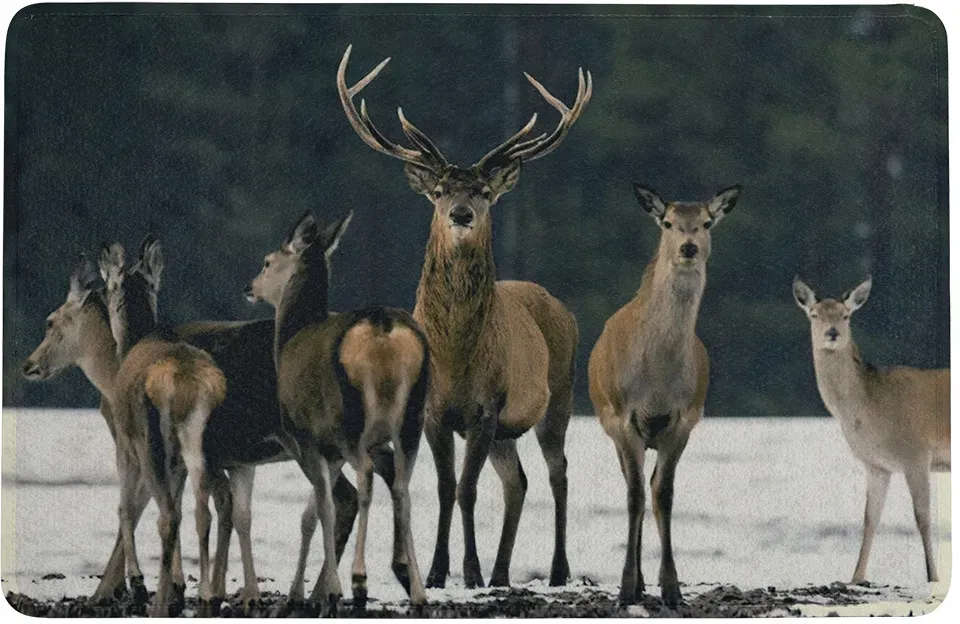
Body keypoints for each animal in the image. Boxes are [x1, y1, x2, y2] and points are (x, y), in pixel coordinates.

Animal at [100, 239, 227, 616]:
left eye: (106, 287)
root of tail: (185, 383)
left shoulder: (124, 442)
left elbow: (125, 508)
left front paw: (139, 584)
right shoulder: (179, 462)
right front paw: (179, 585)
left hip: (149, 439)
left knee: (167, 515)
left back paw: (156, 600)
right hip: (207, 444)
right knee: (207, 508)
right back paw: (206, 597)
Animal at [246, 210, 430, 608]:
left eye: (267, 261)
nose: (249, 287)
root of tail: (383, 327)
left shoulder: (307, 438)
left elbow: (323, 509)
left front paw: (322, 591)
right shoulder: (332, 449)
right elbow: (316, 511)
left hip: (350, 419)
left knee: (366, 479)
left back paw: (359, 580)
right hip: (412, 418)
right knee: (403, 487)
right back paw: (419, 591)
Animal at [342, 45, 588, 588]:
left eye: (483, 192)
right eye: (438, 191)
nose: (460, 214)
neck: (455, 356)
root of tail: (560, 306)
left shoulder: (486, 407)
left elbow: (467, 490)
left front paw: (468, 573)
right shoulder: (433, 411)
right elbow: (445, 487)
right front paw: (437, 573)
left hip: (558, 396)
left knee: (558, 474)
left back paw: (557, 570)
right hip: (507, 432)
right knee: (518, 481)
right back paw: (501, 574)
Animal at [588, 183, 740, 608]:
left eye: (706, 222)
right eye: (668, 222)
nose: (688, 247)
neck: (656, 382)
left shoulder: (683, 420)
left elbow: (664, 495)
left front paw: (672, 589)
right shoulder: (623, 418)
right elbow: (635, 496)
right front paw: (626, 588)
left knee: (651, 486)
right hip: (612, 423)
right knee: (634, 487)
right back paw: (637, 583)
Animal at [792, 278, 948, 584]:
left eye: (846, 315)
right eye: (814, 314)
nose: (832, 333)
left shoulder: (917, 453)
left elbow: (922, 518)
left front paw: (932, 577)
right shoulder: (876, 466)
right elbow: (869, 519)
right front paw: (856, 577)